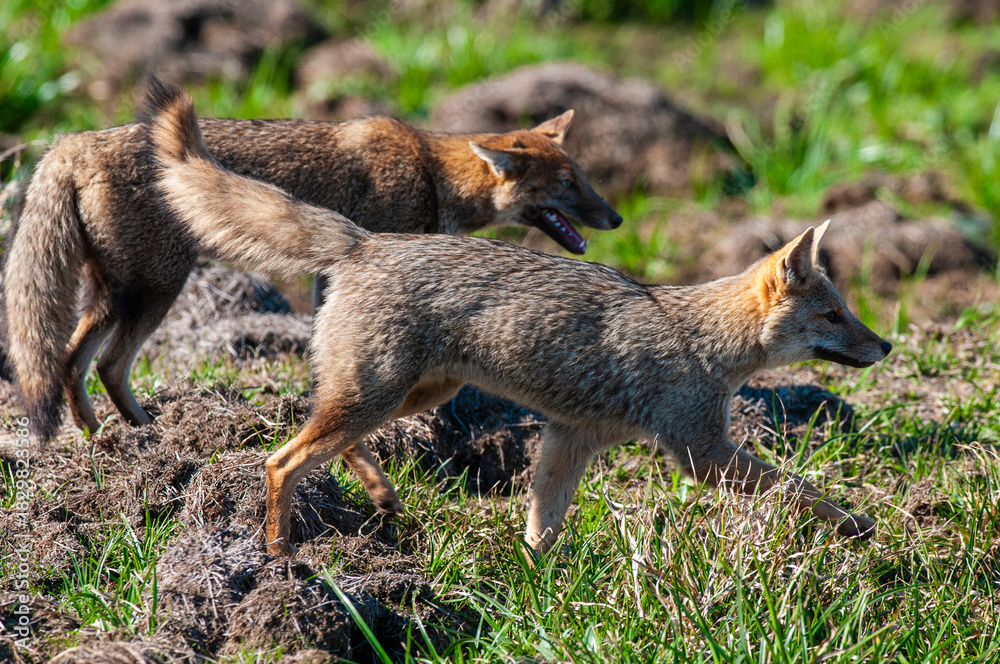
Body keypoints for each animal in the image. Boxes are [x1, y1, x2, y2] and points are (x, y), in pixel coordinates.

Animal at [3, 80, 620, 445]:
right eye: (569, 185)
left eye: (584, 178)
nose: (615, 218)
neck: (430, 172)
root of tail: (72, 142)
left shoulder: (335, 274)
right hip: (155, 290)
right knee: (106, 365)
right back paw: (147, 436)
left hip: (115, 294)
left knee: (69, 362)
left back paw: (101, 441)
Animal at [147, 85, 892, 556]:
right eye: (834, 315)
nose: (885, 345)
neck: (703, 342)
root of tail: (367, 241)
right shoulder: (700, 453)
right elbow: (802, 489)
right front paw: (857, 525)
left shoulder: (570, 439)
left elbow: (541, 530)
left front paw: (536, 591)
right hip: (376, 396)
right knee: (280, 461)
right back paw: (280, 558)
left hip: (412, 394)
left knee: (317, 438)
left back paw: (377, 500)